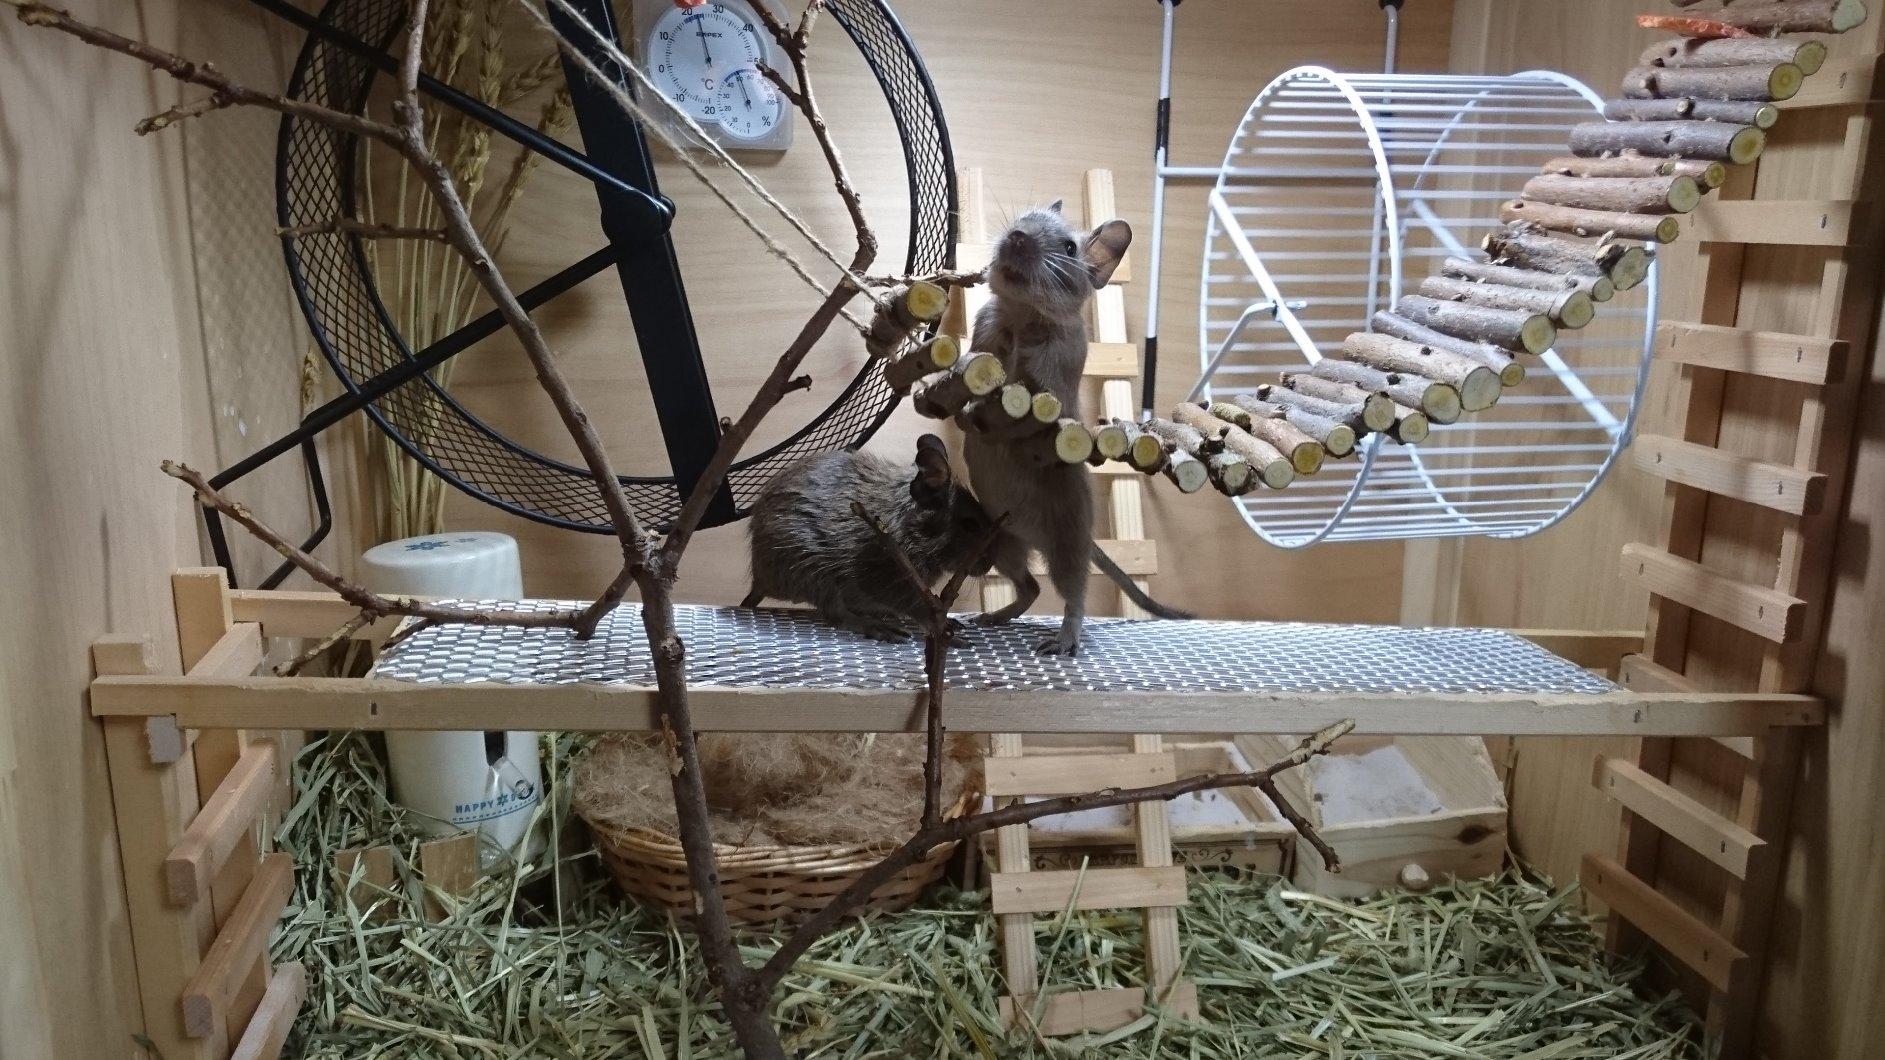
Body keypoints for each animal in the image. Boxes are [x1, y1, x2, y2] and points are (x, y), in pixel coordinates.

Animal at [740, 434, 996, 641]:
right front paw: (941, 626)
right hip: (815, 575)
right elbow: (918, 608)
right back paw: (878, 627)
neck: (910, 527)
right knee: (837, 615)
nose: (989, 564)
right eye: (971, 525)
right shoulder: (885, 578)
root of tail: (760, 582)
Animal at [963, 202, 1188, 656]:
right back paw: (993, 616)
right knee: (1029, 587)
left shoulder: (1053, 372)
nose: (1016, 236)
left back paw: (1063, 640)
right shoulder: (986, 329)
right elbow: (978, 361)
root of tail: (1031, 535)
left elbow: (1029, 401)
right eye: (1024, 218)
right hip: (998, 541)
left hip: (1065, 543)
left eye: (1068, 247)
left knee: (1073, 594)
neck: (1023, 314)